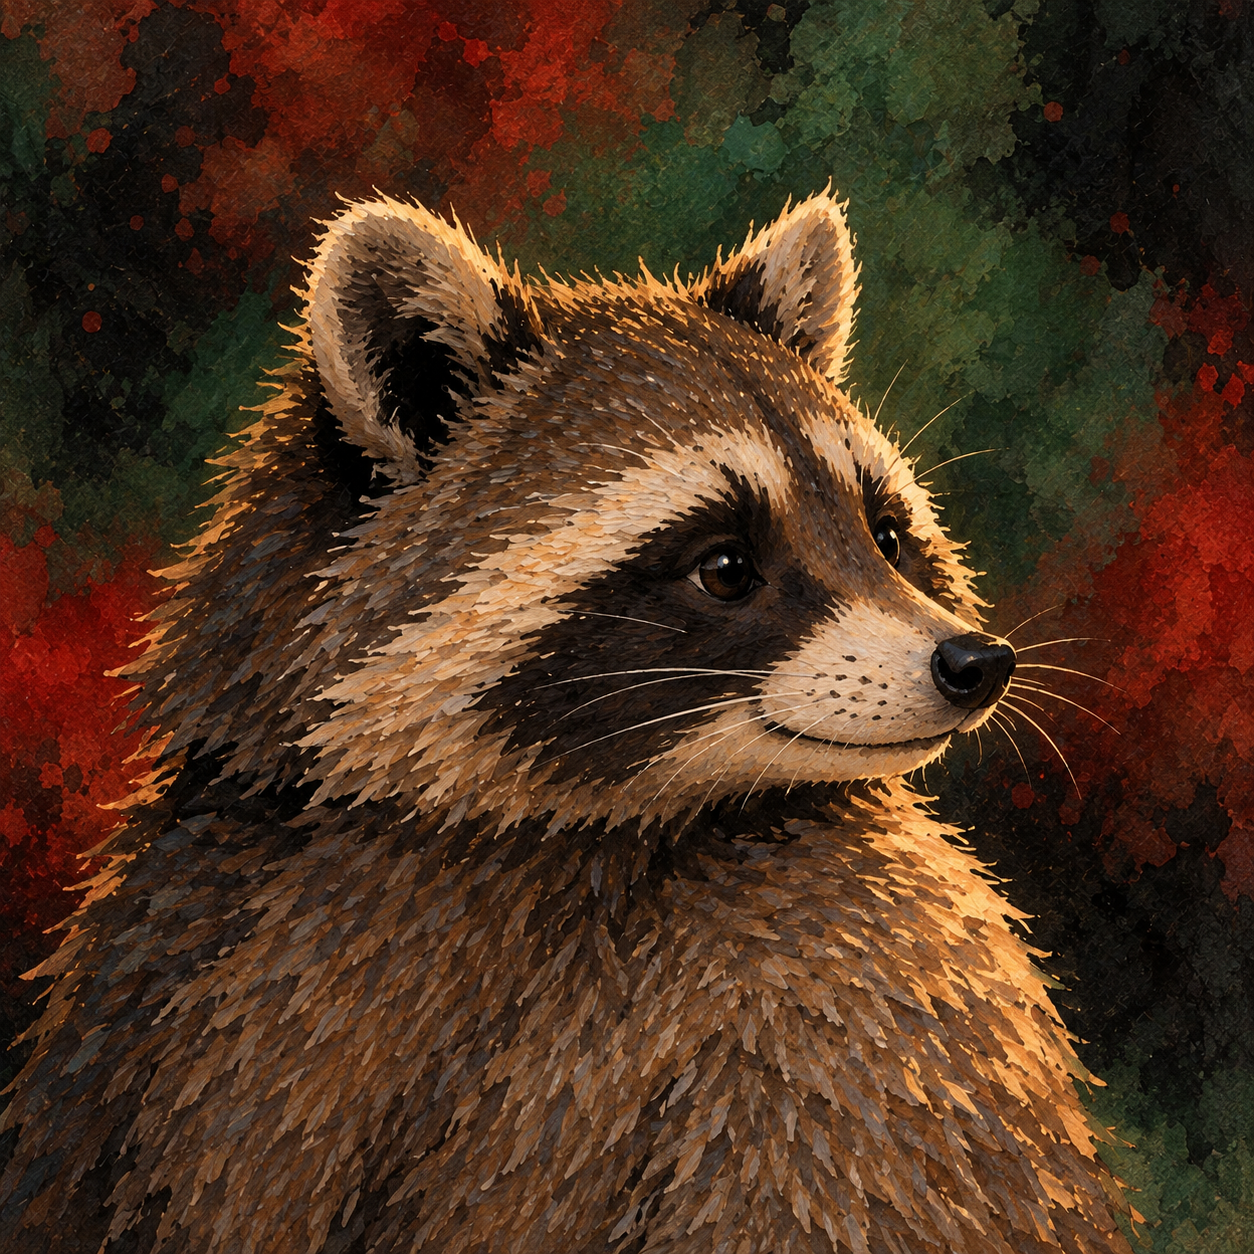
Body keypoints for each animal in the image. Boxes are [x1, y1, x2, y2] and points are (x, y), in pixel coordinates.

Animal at [0, 190, 1131, 1254]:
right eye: (727, 565)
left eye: (886, 536)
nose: (976, 664)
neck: (565, 829)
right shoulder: (178, 958)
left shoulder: (863, 1000)